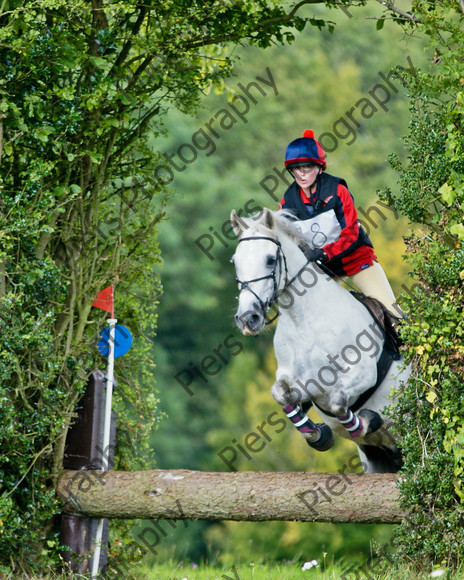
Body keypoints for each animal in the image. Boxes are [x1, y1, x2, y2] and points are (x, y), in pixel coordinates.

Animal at [229, 207, 410, 472]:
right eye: (236, 262)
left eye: (270, 259)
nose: (247, 318)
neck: (305, 322)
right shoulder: (302, 382)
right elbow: (280, 393)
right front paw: (317, 435)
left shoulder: (363, 372)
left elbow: (338, 401)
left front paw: (367, 421)